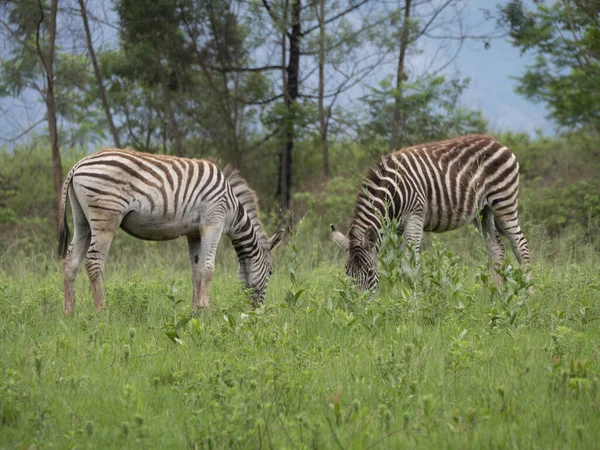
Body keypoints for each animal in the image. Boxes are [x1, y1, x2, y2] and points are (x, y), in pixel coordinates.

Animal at [58, 149, 284, 314]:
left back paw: (70, 313)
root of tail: (78, 165)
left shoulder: (194, 233)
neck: (233, 209)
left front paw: (195, 312)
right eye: (271, 272)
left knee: (71, 262)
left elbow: (196, 271)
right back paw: (101, 311)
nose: (259, 311)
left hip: (83, 221)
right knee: (93, 262)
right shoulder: (213, 223)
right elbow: (208, 269)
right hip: (105, 217)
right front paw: (206, 310)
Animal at [330, 135, 532, 294]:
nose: (363, 307)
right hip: (483, 211)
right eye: (348, 274)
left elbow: (410, 263)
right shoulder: (396, 228)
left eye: (370, 272)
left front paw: (412, 304)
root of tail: (497, 141)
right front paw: (399, 297)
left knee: (520, 246)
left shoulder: (415, 216)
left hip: (504, 201)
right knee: (496, 248)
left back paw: (529, 295)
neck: (393, 191)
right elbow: (397, 263)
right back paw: (498, 295)